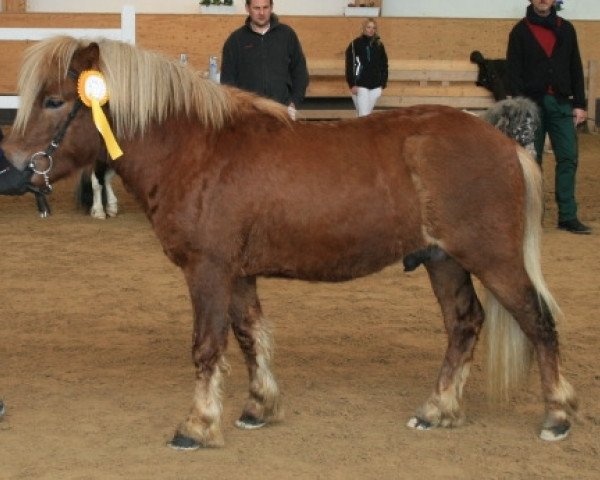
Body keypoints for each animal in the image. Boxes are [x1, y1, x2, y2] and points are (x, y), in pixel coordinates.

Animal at [3, 36, 576, 446]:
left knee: (538, 321)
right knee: (464, 324)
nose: (8, 171)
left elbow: (207, 346)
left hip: (493, 259)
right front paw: (258, 407)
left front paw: (197, 424)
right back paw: (438, 410)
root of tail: (504, 143)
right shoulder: (237, 273)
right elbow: (249, 336)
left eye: (54, 101)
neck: (197, 150)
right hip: (443, 261)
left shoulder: (208, 270)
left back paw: (557, 415)